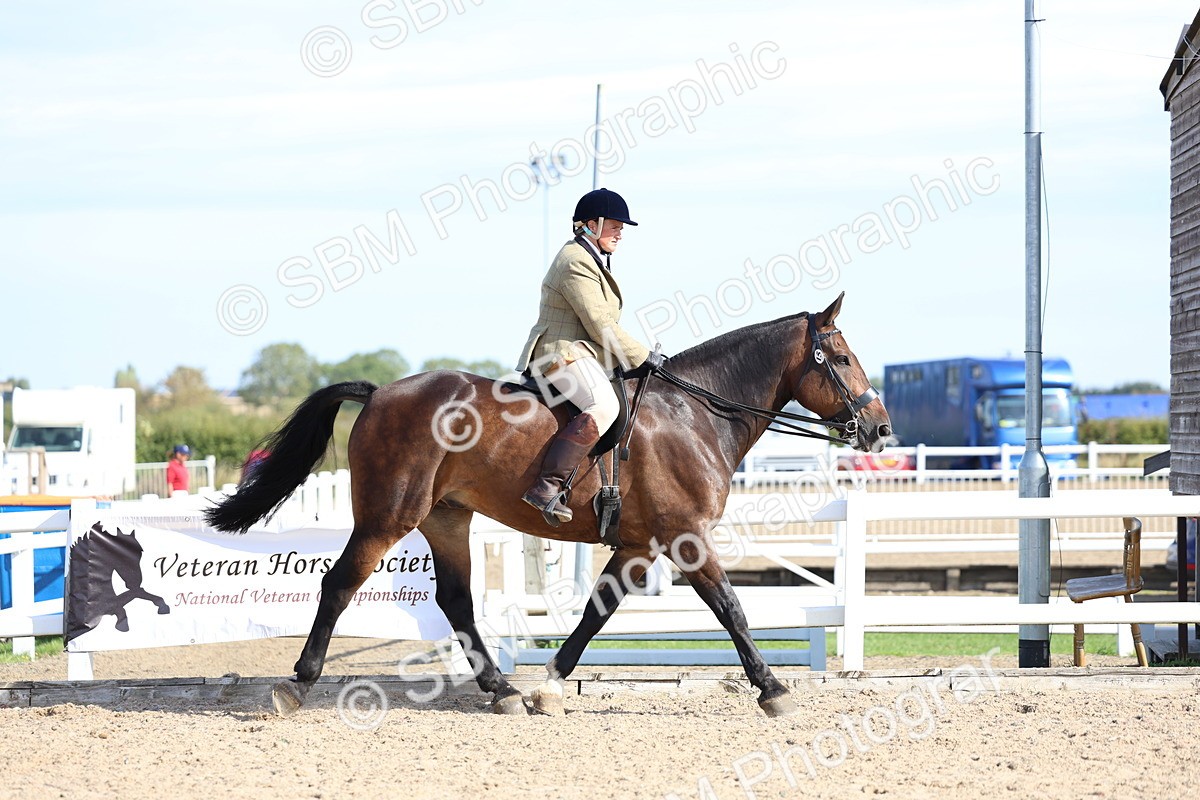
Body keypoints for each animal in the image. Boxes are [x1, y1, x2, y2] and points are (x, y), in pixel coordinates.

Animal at [204, 292, 892, 717]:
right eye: (843, 359)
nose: (880, 429)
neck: (696, 413)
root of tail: (378, 394)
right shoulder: (686, 536)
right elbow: (732, 609)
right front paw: (773, 689)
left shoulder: (638, 545)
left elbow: (594, 614)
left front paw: (550, 687)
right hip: (388, 516)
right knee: (341, 582)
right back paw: (298, 684)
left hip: (446, 518)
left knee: (456, 602)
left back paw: (502, 689)